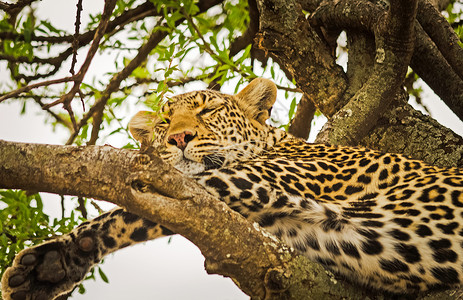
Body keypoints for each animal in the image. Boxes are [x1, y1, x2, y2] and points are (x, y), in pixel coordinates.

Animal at [2, 78, 463, 298]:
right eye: (165, 121)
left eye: (208, 110)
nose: (178, 138)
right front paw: (55, 264)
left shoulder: (253, 180)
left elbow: (133, 205)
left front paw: (57, 255)